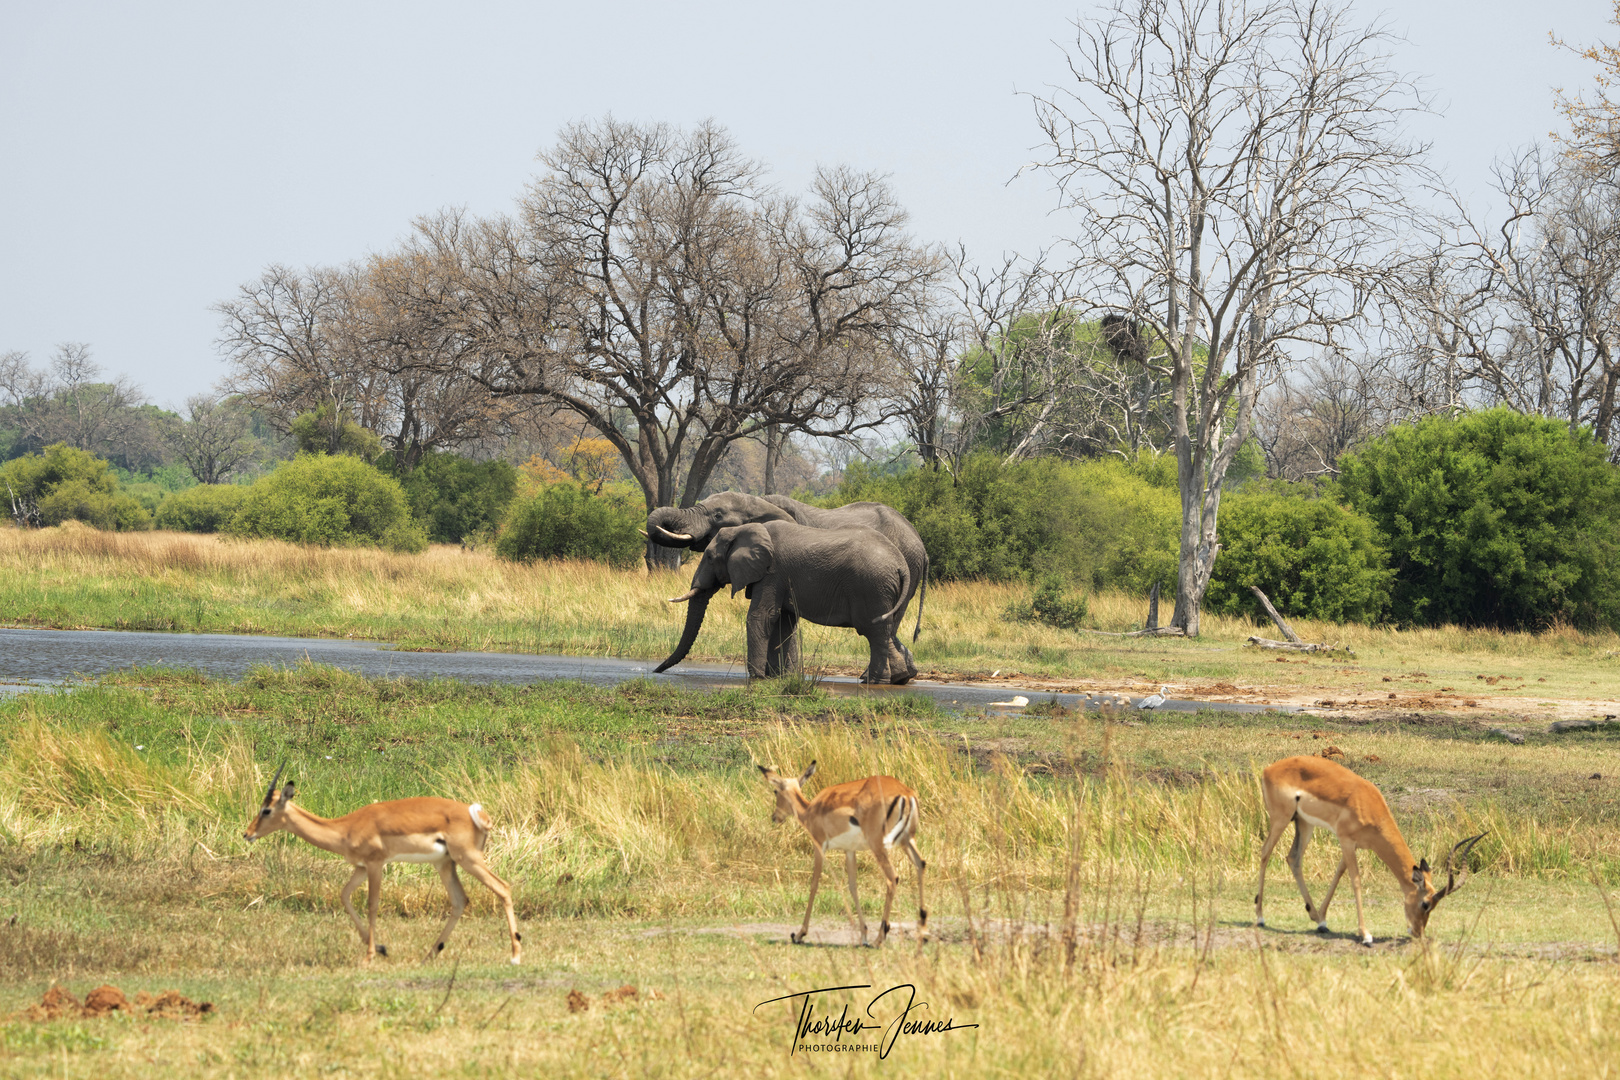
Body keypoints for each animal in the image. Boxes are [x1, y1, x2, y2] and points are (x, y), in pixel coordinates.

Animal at [651, 521, 920, 683]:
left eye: (708, 556)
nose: (654, 671)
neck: (744, 529)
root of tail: (900, 565)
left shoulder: (772, 573)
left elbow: (762, 616)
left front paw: (757, 677)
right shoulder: (781, 578)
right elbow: (783, 622)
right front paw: (779, 677)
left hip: (872, 587)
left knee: (874, 632)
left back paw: (876, 680)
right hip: (887, 590)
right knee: (885, 630)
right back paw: (896, 679)